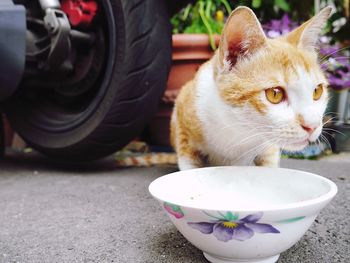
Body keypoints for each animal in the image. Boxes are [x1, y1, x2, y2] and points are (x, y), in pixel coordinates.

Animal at [171, 6, 332, 171]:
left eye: (317, 91)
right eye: (275, 94)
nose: (312, 126)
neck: (239, 130)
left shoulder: (268, 149)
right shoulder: (183, 118)